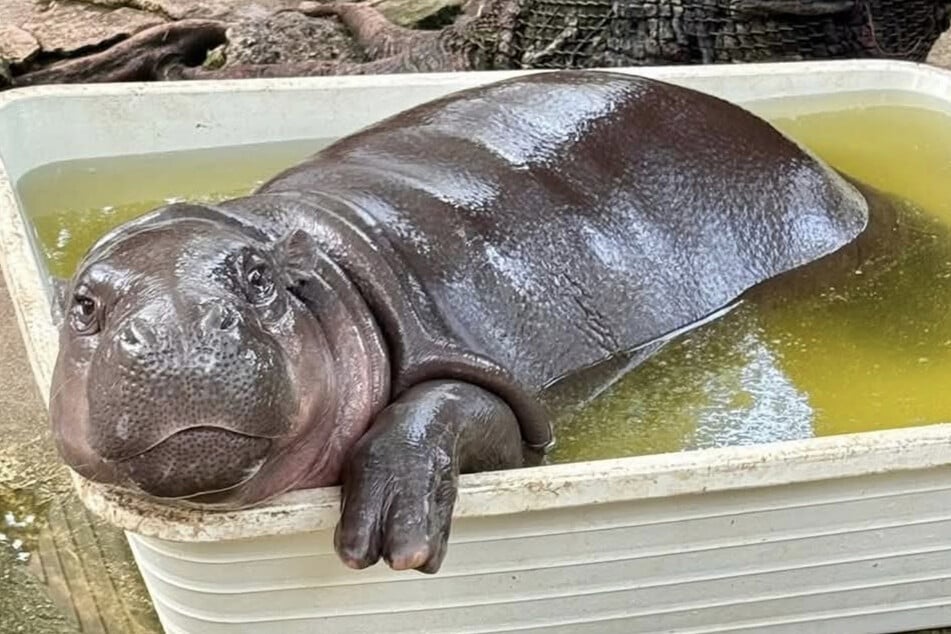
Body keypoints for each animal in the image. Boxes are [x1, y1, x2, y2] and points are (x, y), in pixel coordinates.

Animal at [48, 69, 871, 574]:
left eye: (260, 281)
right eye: (84, 306)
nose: (181, 327)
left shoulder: (490, 382)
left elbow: (446, 402)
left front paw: (391, 537)